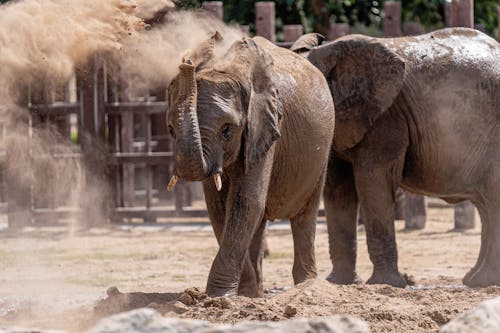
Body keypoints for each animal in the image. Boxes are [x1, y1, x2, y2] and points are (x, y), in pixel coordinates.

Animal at [168, 32, 336, 296]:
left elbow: (245, 202)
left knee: (304, 214)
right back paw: (256, 293)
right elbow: (219, 208)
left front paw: (219, 296)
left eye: (227, 130)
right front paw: (241, 296)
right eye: (170, 130)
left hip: (322, 151)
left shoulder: (266, 126)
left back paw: (306, 285)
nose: (187, 64)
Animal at [300, 28, 500, 286]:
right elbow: (338, 188)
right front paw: (339, 283)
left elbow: (373, 180)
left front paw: (385, 283)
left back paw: (482, 281)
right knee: (486, 204)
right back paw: (473, 279)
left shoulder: (387, 118)